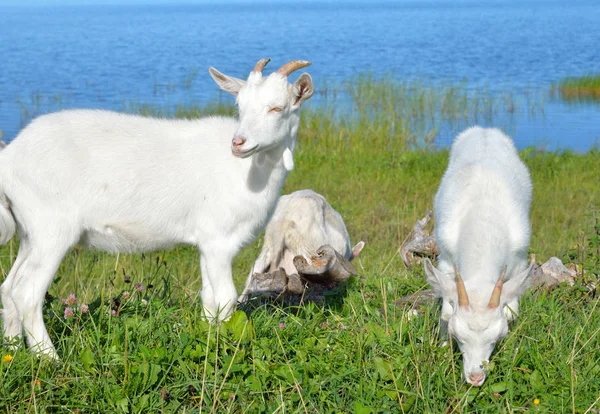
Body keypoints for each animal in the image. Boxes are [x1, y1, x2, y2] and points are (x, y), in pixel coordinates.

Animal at [0, 56, 316, 358]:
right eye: (240, 106)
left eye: (276, 108)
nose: (239, 143)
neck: (248, 171)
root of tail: (10, 158)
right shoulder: (220, 241)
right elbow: (226, 298)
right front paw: (225, 350)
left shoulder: (206, 243)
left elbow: (209, 297)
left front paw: (207, 338)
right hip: (52, 229)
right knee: (27, 293)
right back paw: (49, 358)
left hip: (30, 233)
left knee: (9, 288)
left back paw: (13, 350)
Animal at [422, 128, 536, 386]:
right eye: (458, 336)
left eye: (497, 337)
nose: (475, 377)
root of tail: (484, 130)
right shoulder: (446, 259)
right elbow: (445, 311)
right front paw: (442, 353)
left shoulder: (519, 261)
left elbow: (512, 311)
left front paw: (510, 353)